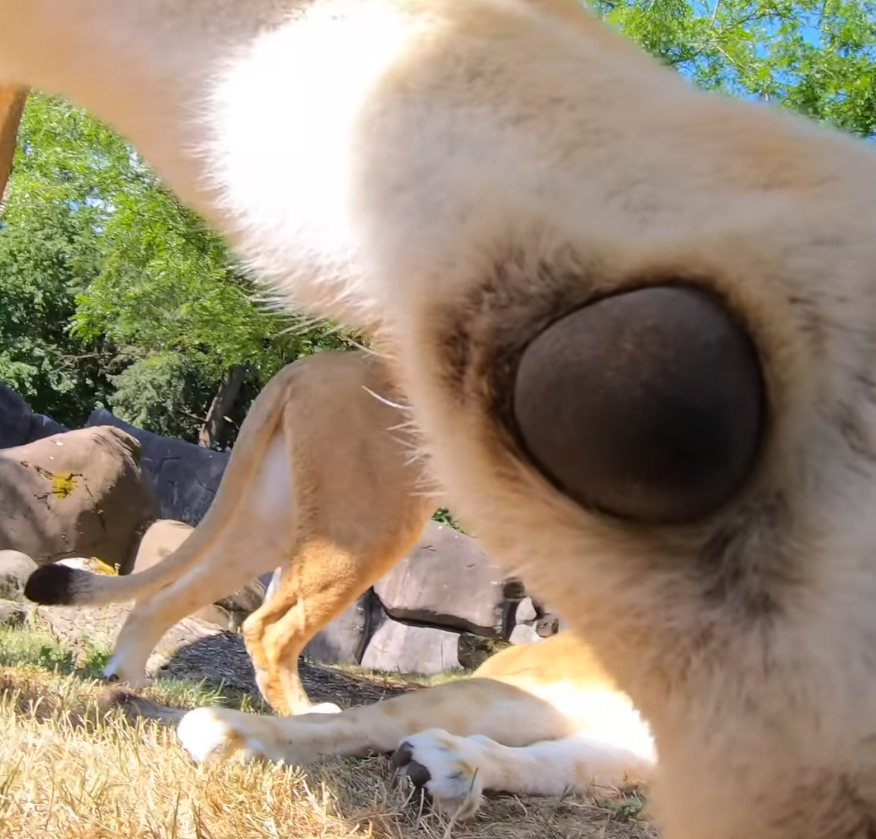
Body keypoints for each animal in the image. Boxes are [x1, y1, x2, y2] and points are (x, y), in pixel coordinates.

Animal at [5, 1, 876, 839]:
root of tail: (314, 365)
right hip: (375, 524)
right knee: (288, 644)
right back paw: (254, 724)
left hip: (285, 514)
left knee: (190, 597)